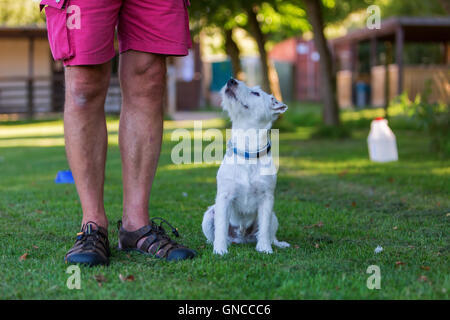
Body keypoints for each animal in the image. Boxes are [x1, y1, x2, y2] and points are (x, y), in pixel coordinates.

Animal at [202, 78, 290, 255]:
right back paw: (218, 243)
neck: (248, 152)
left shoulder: (267, 198)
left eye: (256, 93)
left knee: (271, 233)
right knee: (214, 233)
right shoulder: (224, 197)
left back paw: (278, 243)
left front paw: (265, 248)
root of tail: (241, 239)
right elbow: (220, 227)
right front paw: (220, 250)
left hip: (274, 217)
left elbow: (264, 228)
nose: (231, 81)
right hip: (208, 215)